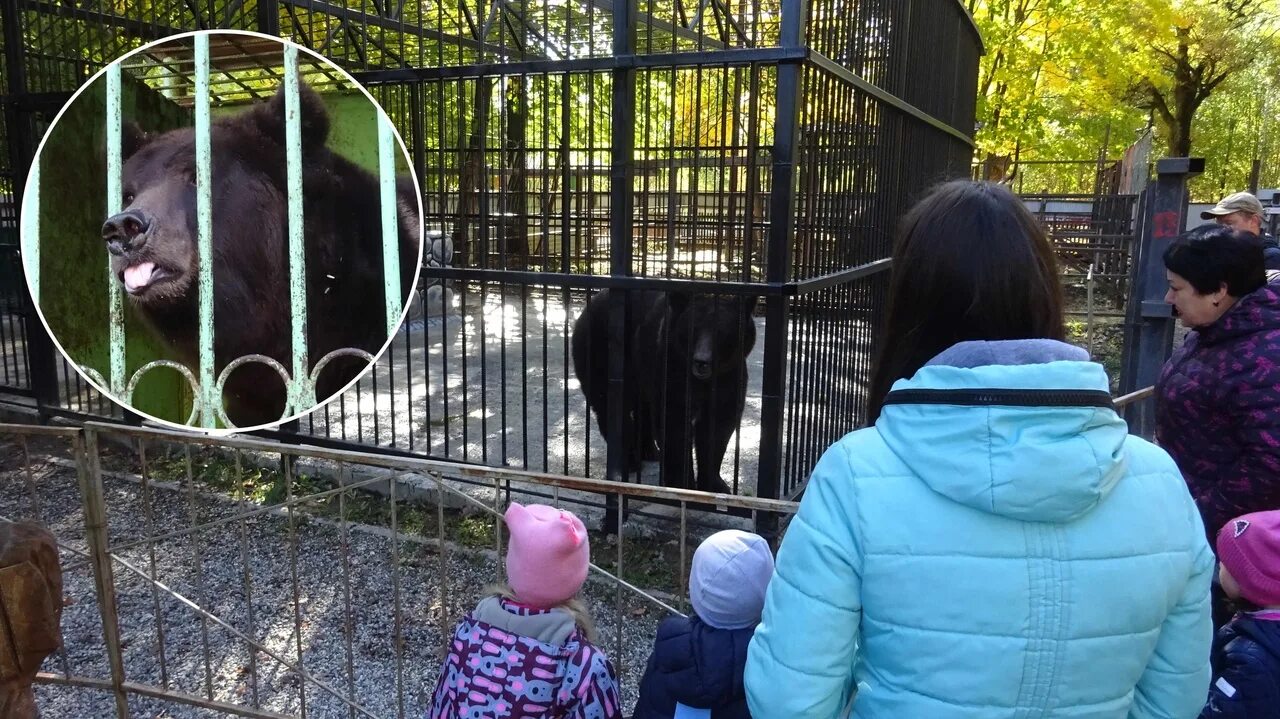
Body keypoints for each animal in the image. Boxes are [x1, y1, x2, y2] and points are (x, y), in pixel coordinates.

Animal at [573, 287, 757, 501]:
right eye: (693, 328)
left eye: (722, 332)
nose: (702, 362)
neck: (702, 381)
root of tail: (591, 302)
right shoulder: (671, 369)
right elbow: (674, 426)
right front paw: (683, 484)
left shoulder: (728, 378)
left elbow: (718, 429)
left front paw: (716, 485)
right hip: (602, 353)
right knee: (609, 405)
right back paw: (630, 459)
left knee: (643, 408)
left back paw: (650, 451)